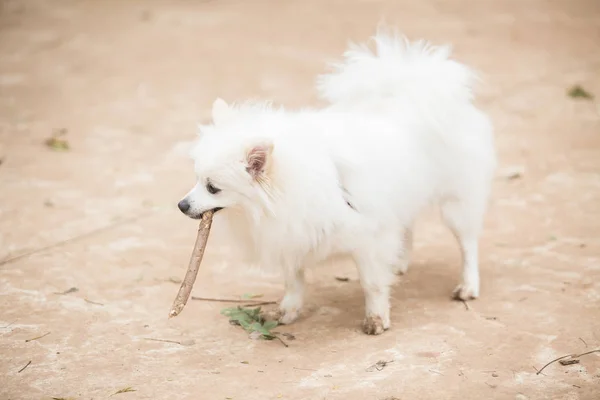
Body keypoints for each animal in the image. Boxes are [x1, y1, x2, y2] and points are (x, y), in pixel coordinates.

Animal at [178, 28, 496, 334]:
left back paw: (468, 285)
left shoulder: (368, 238)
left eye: (213, 188)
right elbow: (293, 281)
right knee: (406, 226)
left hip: (457, 202)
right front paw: (289, 310)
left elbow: (372, 283)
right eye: (196, 179)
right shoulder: (291, 235)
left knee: (467, 244)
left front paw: (376, 318)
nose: (181, 205)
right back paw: (400, 262)